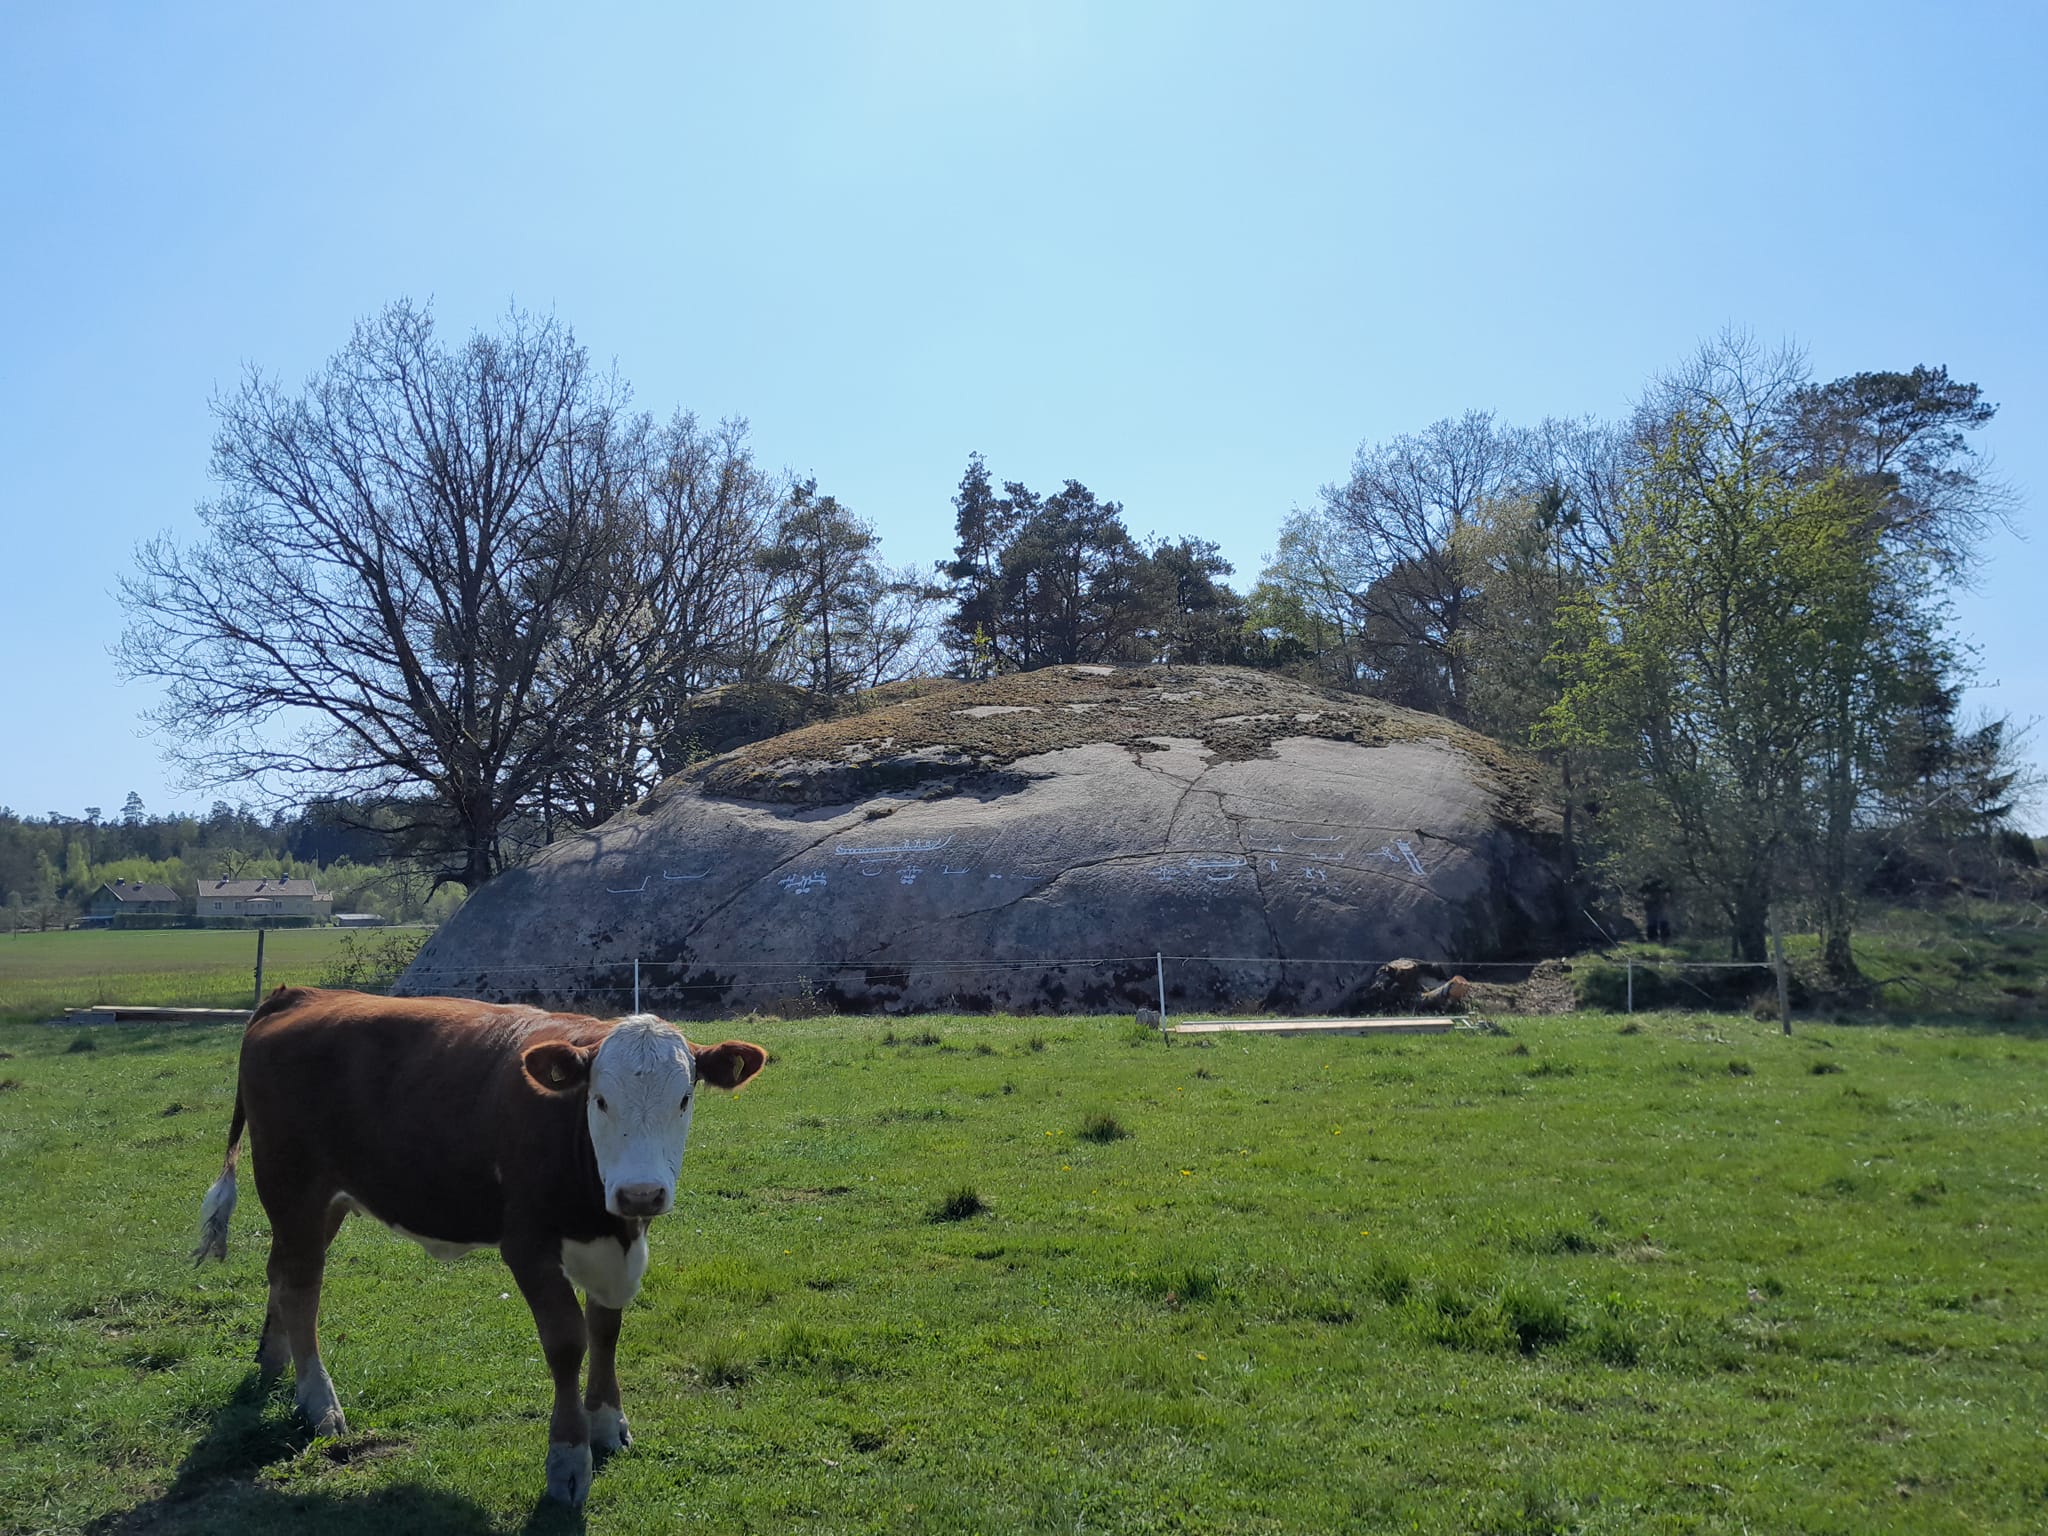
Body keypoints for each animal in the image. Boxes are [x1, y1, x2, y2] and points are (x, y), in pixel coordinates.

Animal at [190, 991, 770, 1507]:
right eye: (600, 1100)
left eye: (684, 1099)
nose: (641, 1194)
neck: (606, 1219)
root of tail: (298, 994)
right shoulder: (528, 1246)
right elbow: (568, 1342)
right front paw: (568, 1460)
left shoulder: (615, 1250)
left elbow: (606, 1331)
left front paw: (607, 1422)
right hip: (294, 1187)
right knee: (302, 1288)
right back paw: (318, 1400)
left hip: (319, 1202)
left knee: (281, 1271)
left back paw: (274, 1359)